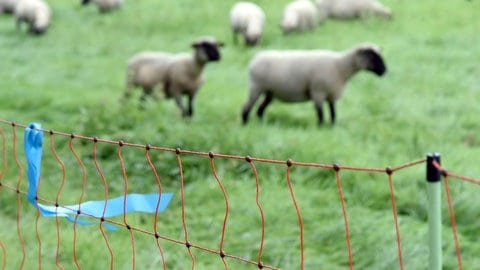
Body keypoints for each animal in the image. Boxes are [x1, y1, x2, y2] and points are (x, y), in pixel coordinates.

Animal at [242, 42, 388, 125]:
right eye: (372, 56)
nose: (384, 71)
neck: (340, 66)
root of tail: (255, 59)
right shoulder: (318, 92)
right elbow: (321, 114)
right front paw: (320, 127)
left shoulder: (331, 94)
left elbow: (333, 113)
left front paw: (332, 126)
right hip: (256, 87)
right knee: (246, 107)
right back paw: (245, 123)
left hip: (269, 91)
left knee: (260, 109)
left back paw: (262, 123)